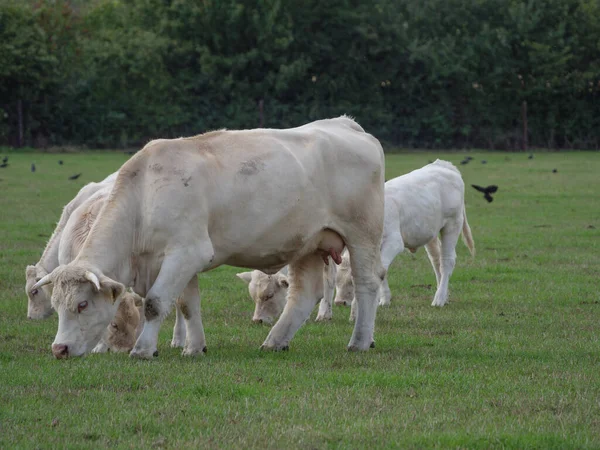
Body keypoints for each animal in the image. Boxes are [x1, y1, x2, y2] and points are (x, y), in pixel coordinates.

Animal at [332, 160, 474, 318]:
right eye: (336, 280)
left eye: (352, 281)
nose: (339, 302)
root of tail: (444, 165)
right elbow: (382, 271)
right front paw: (384, 299)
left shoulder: (394, 242)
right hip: (430, 232)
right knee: (436, 261)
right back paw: (444, 295)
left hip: (452, 225)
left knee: (447, 261)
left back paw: (439, 298)